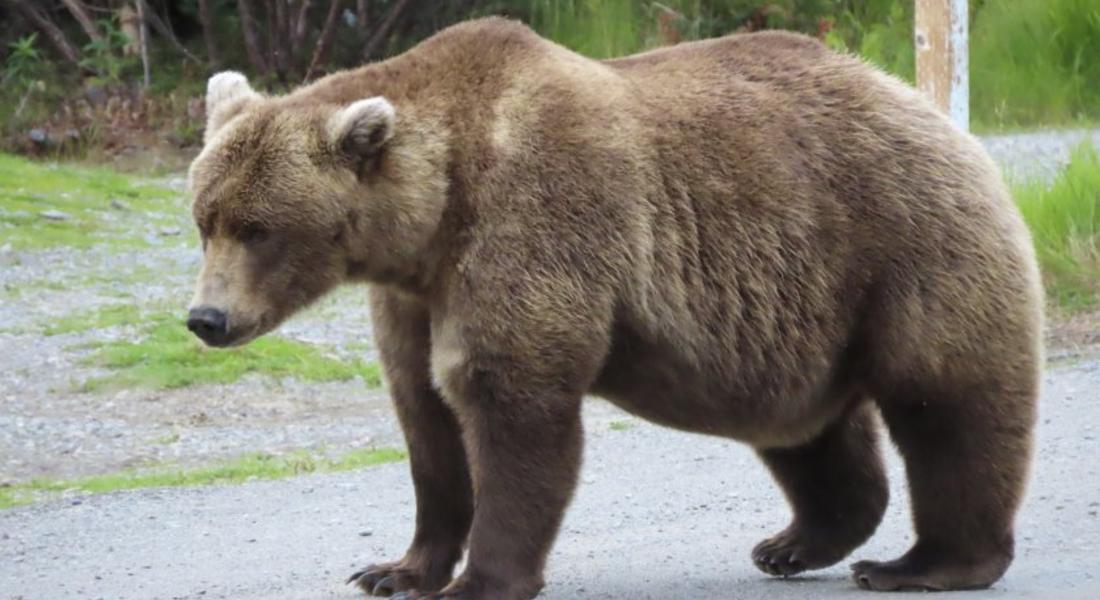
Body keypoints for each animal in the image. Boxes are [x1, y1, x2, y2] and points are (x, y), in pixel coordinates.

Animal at [187, 16, 1038, 594]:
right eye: (205, 218)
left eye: (259, 229)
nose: (206, 319)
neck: (432, 216)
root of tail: (917, 100)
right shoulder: (412, 297)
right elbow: (426, 418)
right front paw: (395, 568)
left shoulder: (533, 221)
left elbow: (511, 406)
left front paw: (479, 580)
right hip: (794, 313)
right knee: (805, 427)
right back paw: (794, 541)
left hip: (902, 241)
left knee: (948, 402)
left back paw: (923, 562)